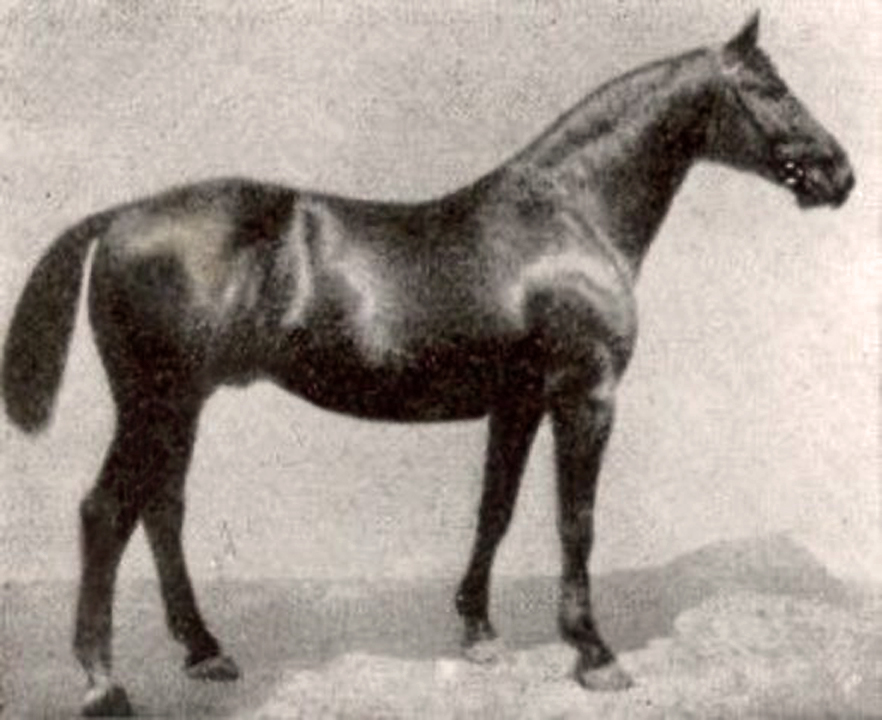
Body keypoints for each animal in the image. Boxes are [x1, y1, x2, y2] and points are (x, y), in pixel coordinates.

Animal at [1, 13, 854, 716]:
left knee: (162, 508)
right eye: (771, 89)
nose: (840, 174)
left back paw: (206, 651)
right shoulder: (587, 396)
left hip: (182, 403)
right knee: (107, 512)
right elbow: (576, 521)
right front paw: (593, 654)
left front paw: (478, 630)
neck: (568, 216)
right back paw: (103, 683)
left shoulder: (519, 401)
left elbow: (496, 509)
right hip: (158, 400)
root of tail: (121, 216)